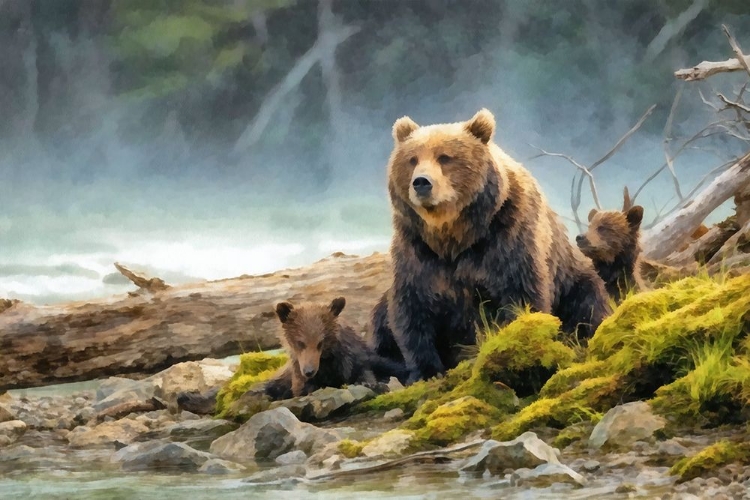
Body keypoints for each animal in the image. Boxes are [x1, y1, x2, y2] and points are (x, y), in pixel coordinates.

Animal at [264, 297, 407, 399]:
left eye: (320, 342)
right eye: (300, 342)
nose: (309, 371)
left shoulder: (352, 360)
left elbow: (365, 372)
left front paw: (373, 384)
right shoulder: (299, 374)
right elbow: (301, 388)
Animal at [369, 108, 611, 383]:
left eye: (445, 157)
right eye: (412, 159)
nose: (421, 182)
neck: (453, 235)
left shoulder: (506, 238)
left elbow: (520, 294)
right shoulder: (418, 251)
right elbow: (411, 307)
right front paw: (425, 370)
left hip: (572, 280)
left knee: (588, 302)